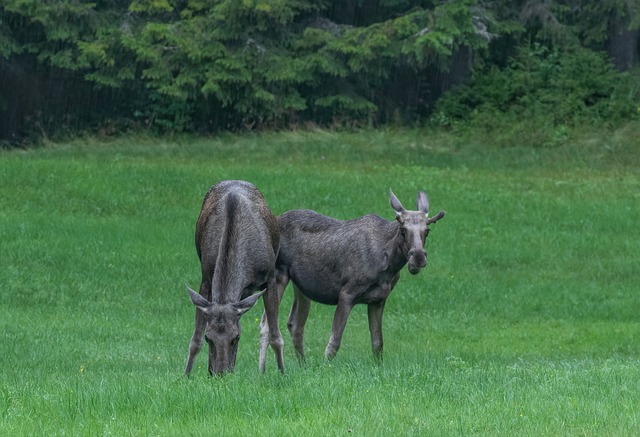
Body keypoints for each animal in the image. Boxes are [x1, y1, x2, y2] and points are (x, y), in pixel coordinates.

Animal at [185, 180, 284, 374]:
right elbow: (195, 339)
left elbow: (275, 336)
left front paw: (283, 373)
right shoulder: (206, 278)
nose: (221, 374)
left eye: (235, 338)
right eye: (209, 338)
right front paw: (188, 374)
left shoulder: (270, 277)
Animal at [258, 188, 442, 368]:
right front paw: (325, 368)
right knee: (266, 324)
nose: (418, 258)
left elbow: (378, 343)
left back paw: (303, 365)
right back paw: (264, 370)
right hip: (278, 275)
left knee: (295, 324)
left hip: (301, 287)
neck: (389, 266)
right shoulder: (347, 294)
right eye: (403, 230)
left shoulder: (379, 300)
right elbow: (334, 342)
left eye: (427, 231)